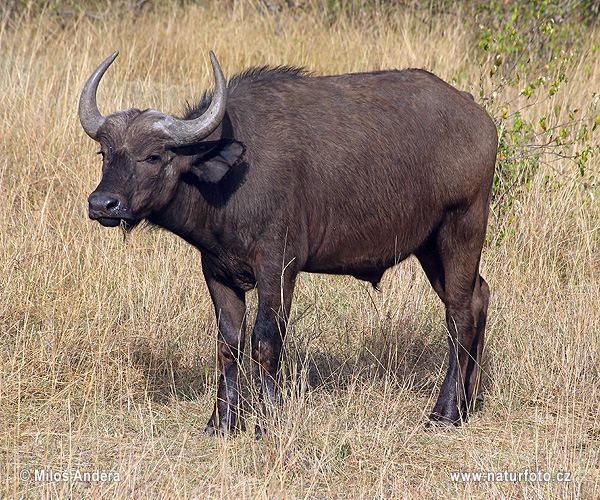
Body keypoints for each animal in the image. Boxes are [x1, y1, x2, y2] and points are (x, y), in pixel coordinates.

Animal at [81, 49, 502, 434]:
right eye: (105, 153)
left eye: (153, 156)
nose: (102, 204)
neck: (231, 181)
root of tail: (478, 116)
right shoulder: (217, 271)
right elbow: (228, 344)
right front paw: (222, 421)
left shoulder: (278, 267)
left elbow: (265, 341)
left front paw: (267, 421)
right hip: (429, 246)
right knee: (478, 296)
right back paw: (470, 400)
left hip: (462, 227)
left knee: (459, 315)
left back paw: (445, 412)